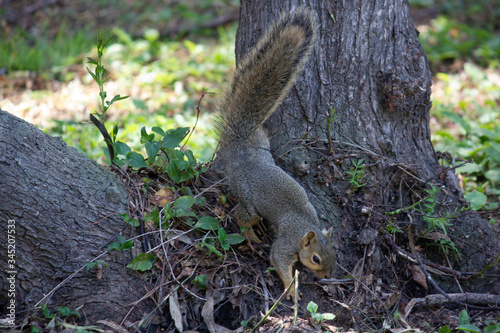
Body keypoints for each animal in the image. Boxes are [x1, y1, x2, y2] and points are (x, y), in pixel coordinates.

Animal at [215, 8, 336, 300]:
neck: (305, 225)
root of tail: (241, 155)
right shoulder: (287, 242)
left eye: (334, 254)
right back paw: (250, 236)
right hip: (248, 198)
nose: (327, 275)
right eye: (316, 258)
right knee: (242, 216)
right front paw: (291, 290)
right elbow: (279, 260)